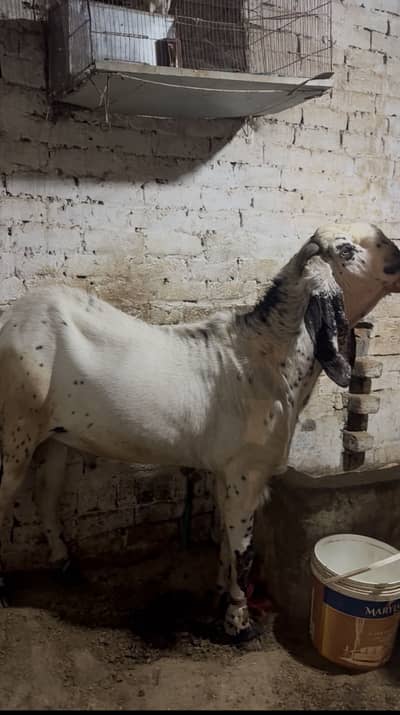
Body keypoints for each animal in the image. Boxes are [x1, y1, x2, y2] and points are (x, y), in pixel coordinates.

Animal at [0, 222, 399, 642]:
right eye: (346, 249)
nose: (399, 258)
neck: (270, 358)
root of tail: (13, 319)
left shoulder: (226, 474)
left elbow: (226, 541)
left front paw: (222, 596)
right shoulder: (246, 473)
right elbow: (243, 549)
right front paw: (239, 623)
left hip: (54, 436)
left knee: (46, 494)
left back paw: (65, 564)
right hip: (16, 431)